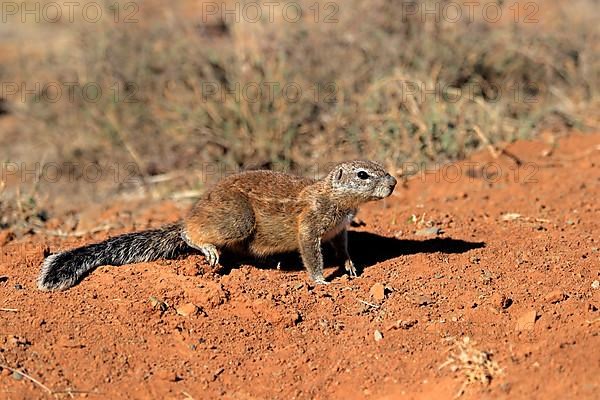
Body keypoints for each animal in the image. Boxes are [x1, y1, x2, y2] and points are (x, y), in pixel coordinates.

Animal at [36, 160, 394, 290]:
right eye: (363, 174)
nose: (392, 183)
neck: (334, 198)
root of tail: (194, 210)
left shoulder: (339, 230)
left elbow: (343, 247)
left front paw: (350, 266)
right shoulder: (309, 226)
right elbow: (311, 253)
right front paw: (321, 281)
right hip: (238, 220)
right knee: (188, 233)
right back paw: (206, 247)